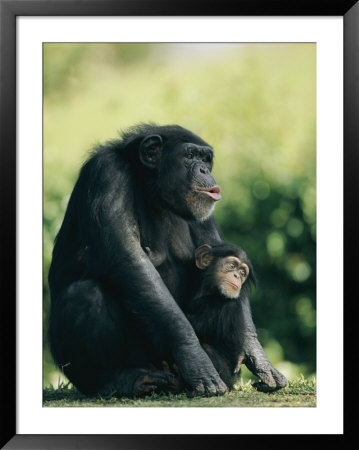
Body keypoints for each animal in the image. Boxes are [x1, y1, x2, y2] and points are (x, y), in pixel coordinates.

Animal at [48, 124, 290, 398]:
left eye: (205, 159)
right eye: (190, 156)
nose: (205, 170)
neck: (151, 189)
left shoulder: (205, 208)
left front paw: (260, 358)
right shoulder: (106, 173)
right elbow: (129, 259)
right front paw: (194, 356)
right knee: (86, 294)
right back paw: (119, 381)